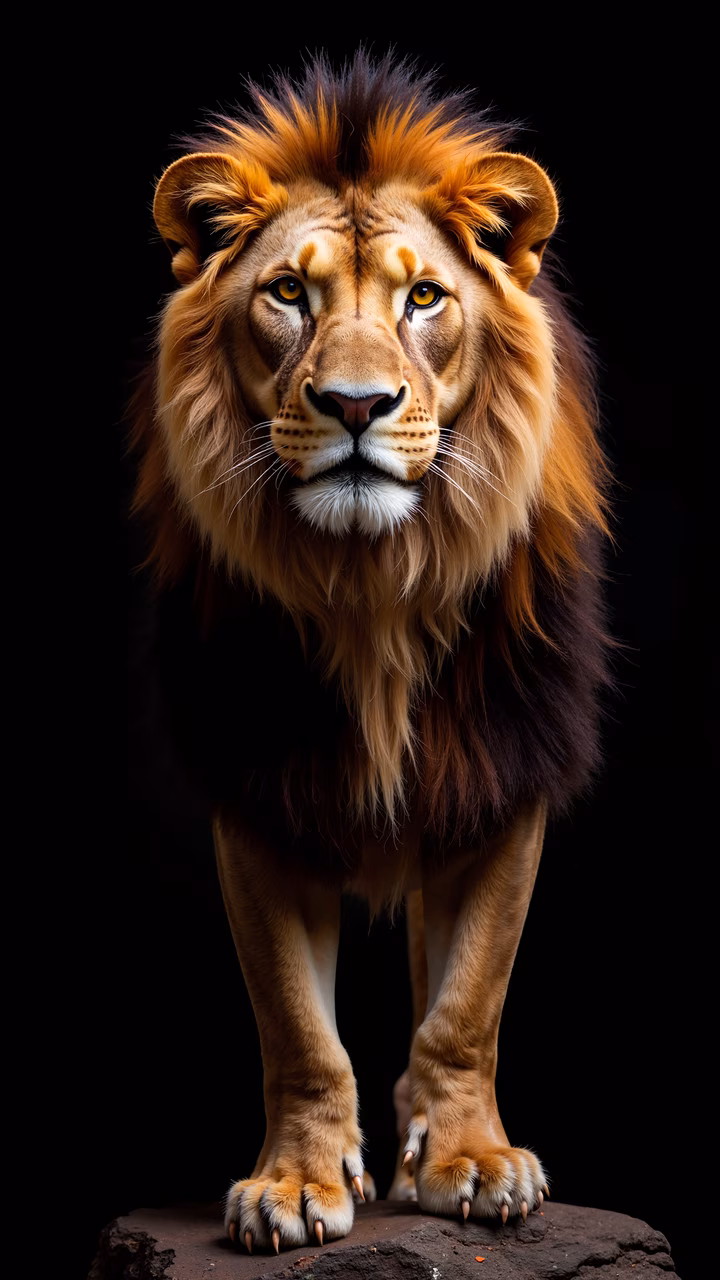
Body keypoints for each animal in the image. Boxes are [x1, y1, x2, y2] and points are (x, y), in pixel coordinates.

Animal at [131, 51, 610, 1255]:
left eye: (423, 297)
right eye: (287, 295)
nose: (355, 405)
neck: (372, 588)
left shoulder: (503, 771)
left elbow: (468, 1002)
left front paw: (472, 1159)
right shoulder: (257, 792)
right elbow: (296, 1023)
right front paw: (298, 1181)